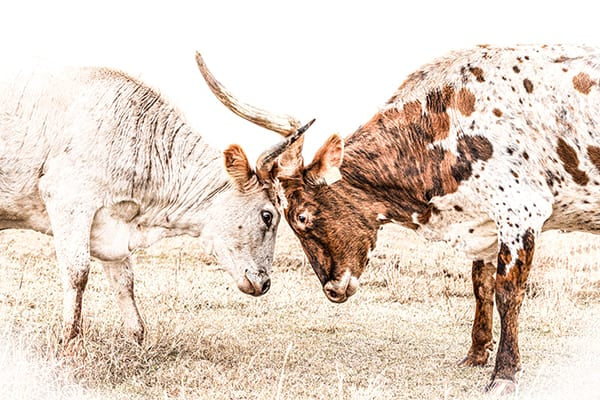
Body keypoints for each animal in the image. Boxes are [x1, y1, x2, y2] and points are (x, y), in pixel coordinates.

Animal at [202, 43, 600, 394]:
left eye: (301, 216)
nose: (331, 289)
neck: (447, 120)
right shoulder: (484, 223)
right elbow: (480, 286)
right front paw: (475, 354)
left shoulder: (519, 212)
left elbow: (507, 293)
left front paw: (505, 373)